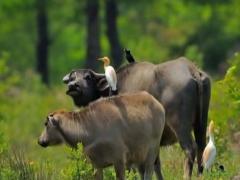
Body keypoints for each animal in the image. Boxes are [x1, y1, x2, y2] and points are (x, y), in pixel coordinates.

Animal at [62, 57, 211, 179]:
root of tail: (192, 70)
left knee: (190, 149)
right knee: (202, 148)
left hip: (181, 127)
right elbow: (155, 165)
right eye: (72, 78)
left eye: (88, 77)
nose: (73, 86)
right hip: (201, 124)